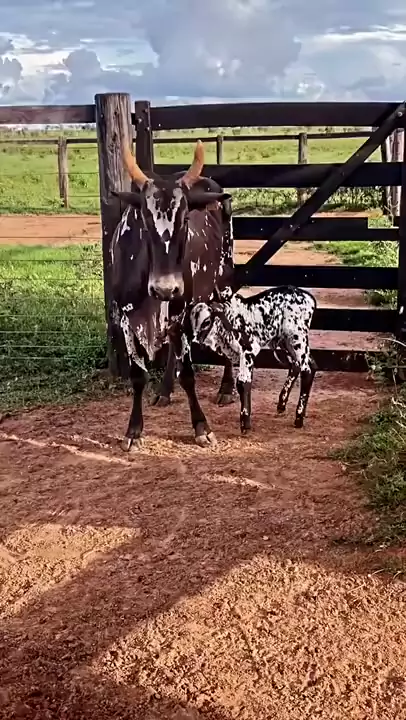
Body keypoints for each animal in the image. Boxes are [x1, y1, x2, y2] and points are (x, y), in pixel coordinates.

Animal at [110, 140, 235, 451]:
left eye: (186, 217)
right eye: (144, 217)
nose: (165, 288)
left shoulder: (183, 308)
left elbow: (188, 374)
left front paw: (201, 426)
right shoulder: (127, 319)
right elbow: (138, 375)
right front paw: (134, 430)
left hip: (222, 284)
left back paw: (227, 388)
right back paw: (165, 390)